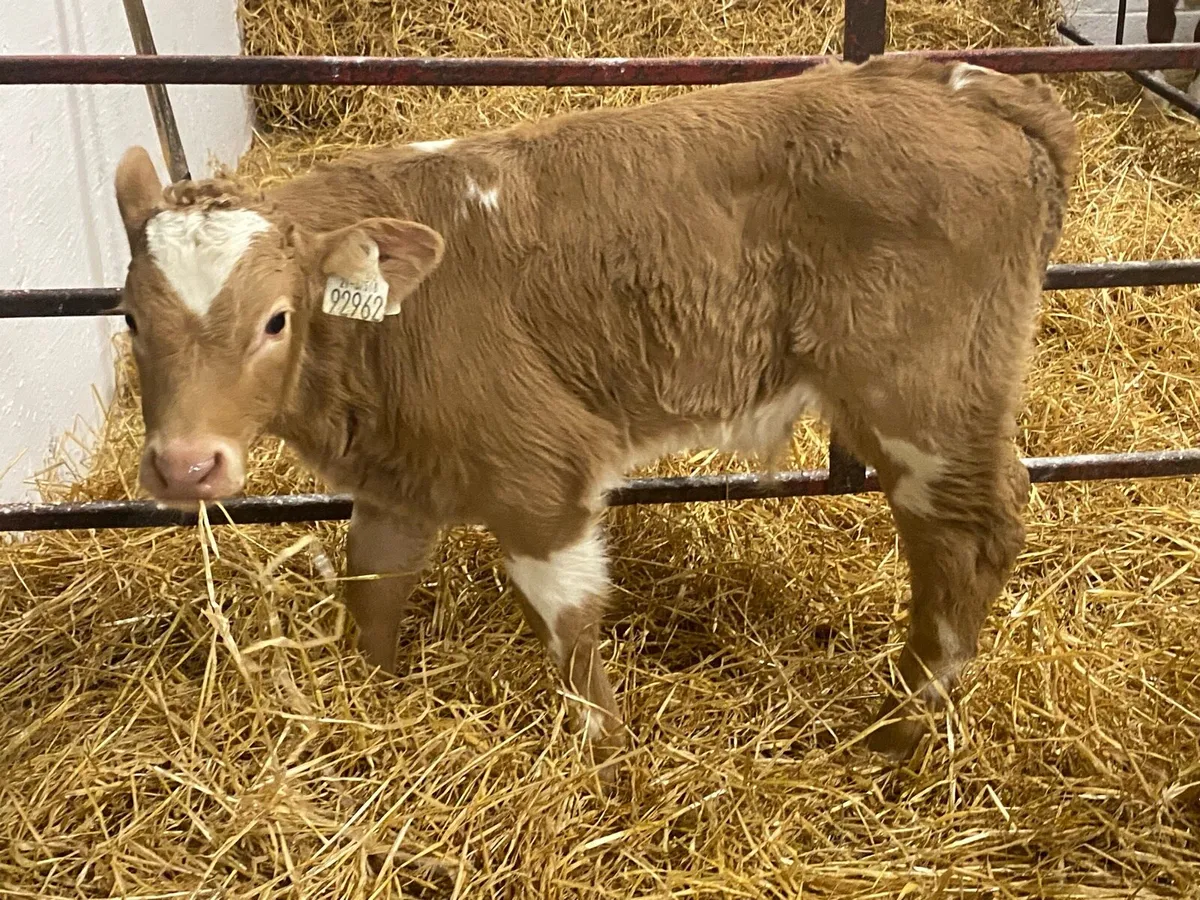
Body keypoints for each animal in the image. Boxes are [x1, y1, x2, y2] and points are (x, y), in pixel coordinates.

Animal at [111, 55, 1078, 773]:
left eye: (277, 319)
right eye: (127, 317)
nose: (186, 465)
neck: (385, 332)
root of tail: (953, 83)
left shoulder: (538, 468)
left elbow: (569, 620)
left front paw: (599, 751)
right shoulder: (401, 475)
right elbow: (372, 589)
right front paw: (370, 708)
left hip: (924, 394)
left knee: (967, 537)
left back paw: (898, 731)